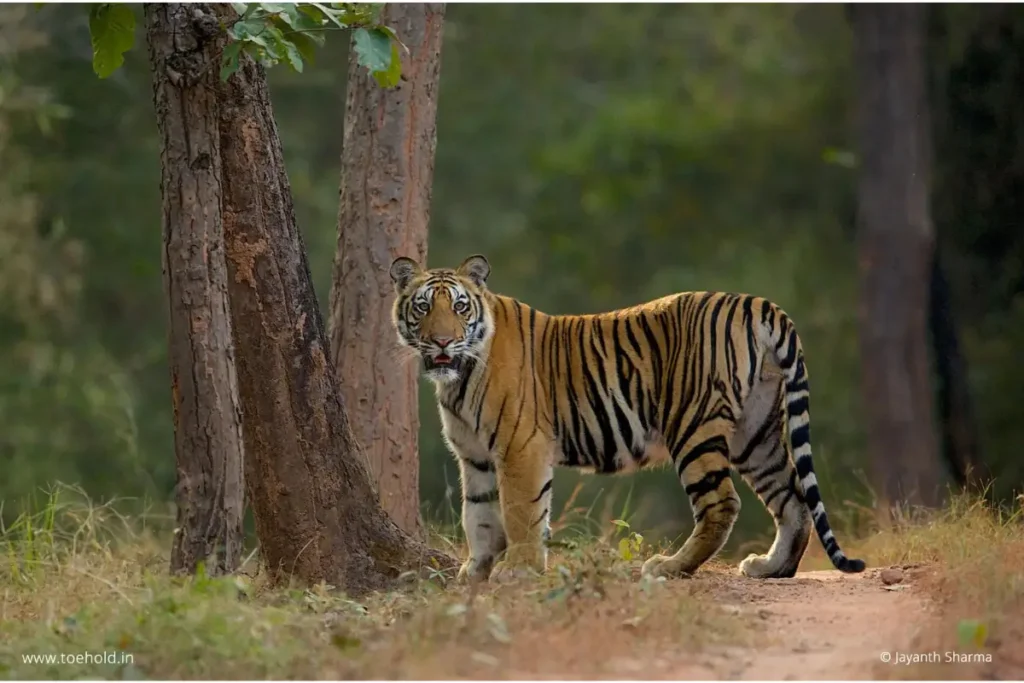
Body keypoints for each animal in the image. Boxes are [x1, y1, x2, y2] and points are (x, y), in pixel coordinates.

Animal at [389, 253, 866, 584]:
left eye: (460, 307)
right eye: (424, 308)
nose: (442, 341)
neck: (458, 376)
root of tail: (758, 303)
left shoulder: (519, 447)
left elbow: (520, 512)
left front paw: (518, 570)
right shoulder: (475, 455)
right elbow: (479, 515)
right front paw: (475, 572)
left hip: (692, 425)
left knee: (723, 503)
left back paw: (670, 567)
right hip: (756, 431)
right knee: (792, 498)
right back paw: (771, 567)